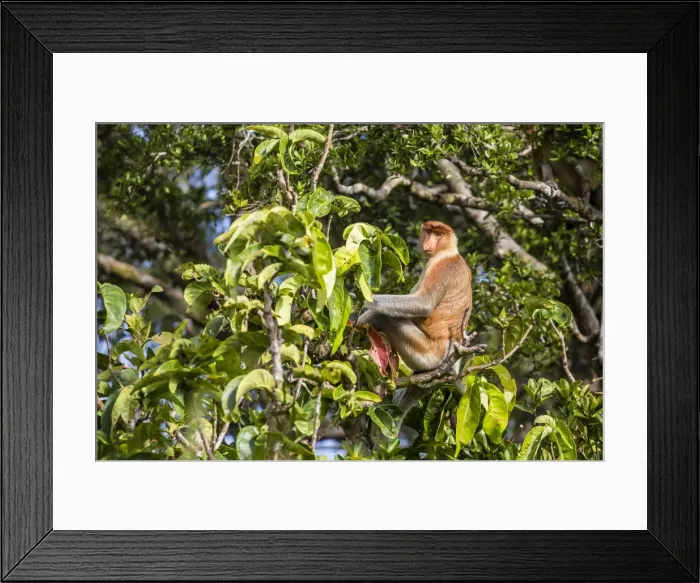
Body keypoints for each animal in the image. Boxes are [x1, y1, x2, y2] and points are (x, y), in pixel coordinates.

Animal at [356, 221, 472, 379]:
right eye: (429, 232)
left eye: (438, 234)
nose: (428, 244)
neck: (448, 250)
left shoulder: (440, 265)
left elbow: (423, 303)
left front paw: (366, 303)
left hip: (427, 353)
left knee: (386, 317)